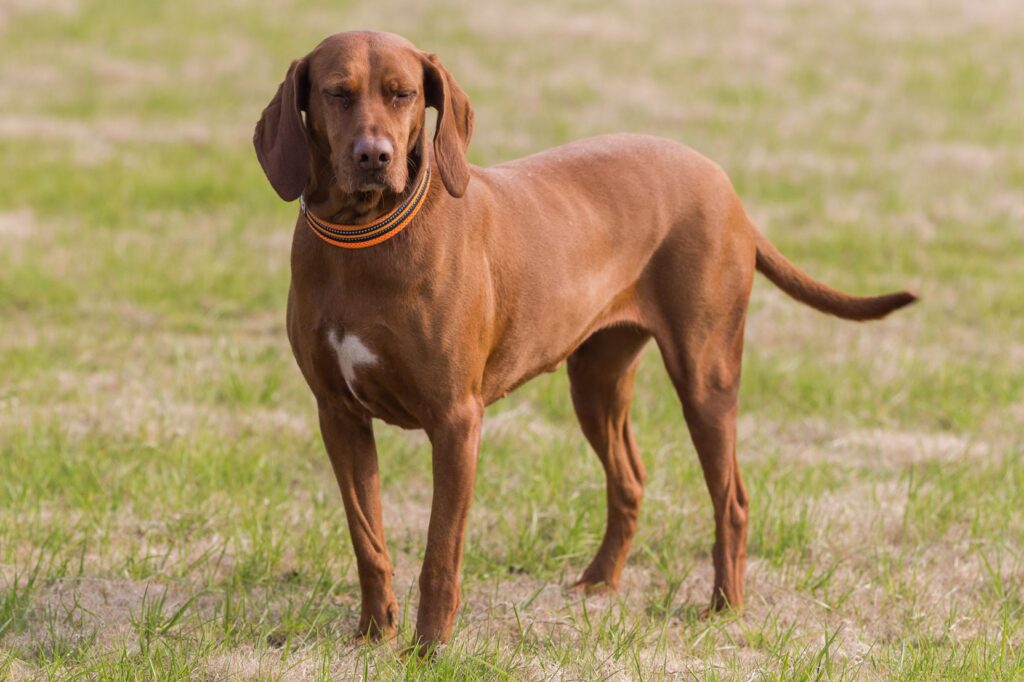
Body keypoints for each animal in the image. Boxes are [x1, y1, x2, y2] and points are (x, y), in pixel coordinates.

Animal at [251, 30, 917, 647]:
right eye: (337, 92)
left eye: (403, 93)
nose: (375, 156)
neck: (362, 239)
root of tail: (726, 188)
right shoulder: (338, 415)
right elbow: (368, 539)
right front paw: (374, 634)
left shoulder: (456, 421)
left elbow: (441, 554)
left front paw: (429, 649)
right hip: (595, 381)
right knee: (630, 479)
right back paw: (600, 582)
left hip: (705, 376)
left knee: (732, 499)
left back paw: (725, 607)